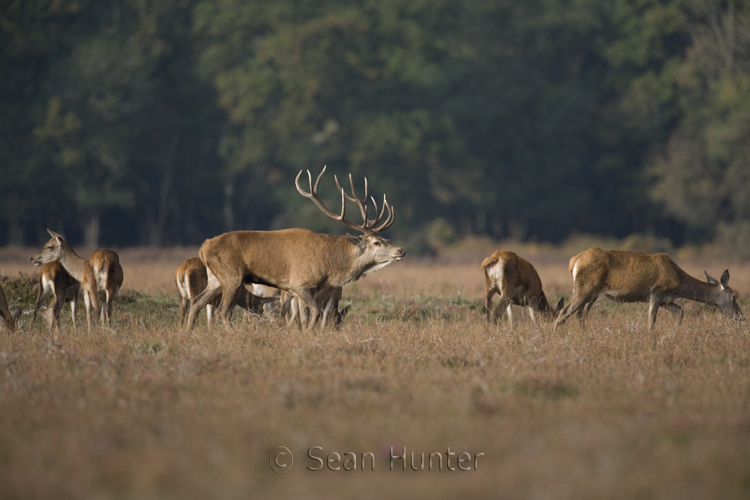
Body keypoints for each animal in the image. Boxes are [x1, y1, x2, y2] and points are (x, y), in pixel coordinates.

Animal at [187, 166, 405, 330]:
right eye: (376, 243)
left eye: (385, 238)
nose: (401, 251)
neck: (329, 266)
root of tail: (203, 248)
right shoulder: (300, 283)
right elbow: (314, 313)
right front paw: (308, 334)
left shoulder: (305, 289)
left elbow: (306, 315)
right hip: (231, 276)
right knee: (223, 310)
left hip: (216, 278)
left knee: (196, 302)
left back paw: (187, 334)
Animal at [553, 248, 744, 331]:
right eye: (733, 297)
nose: (741, 317)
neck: (679, 282)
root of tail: (573, 262)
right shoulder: (656, 292)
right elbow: (651, 321)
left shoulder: (666, 299)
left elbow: (681, 311)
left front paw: (676, 333)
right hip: (585, 289)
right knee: (563, 313)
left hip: (591, 293)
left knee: (580, 316)